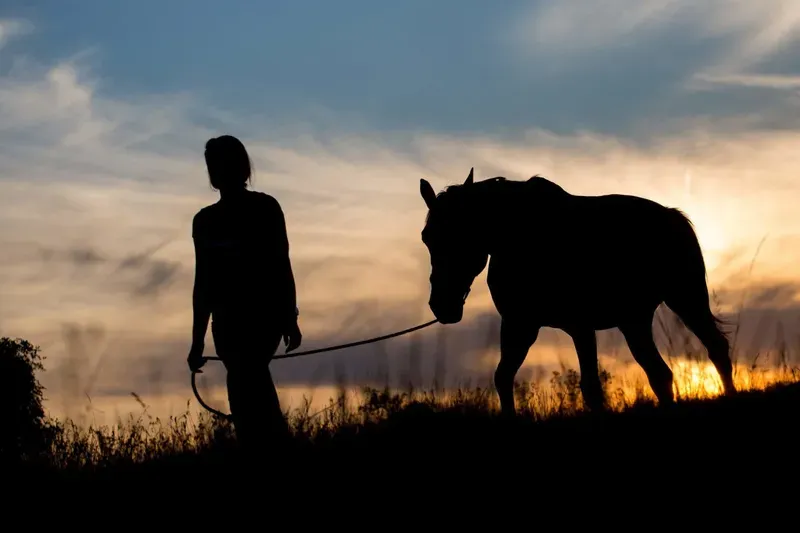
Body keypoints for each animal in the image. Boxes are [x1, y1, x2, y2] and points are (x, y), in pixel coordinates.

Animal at [418, 168, 736, 415]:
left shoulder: (580, 326)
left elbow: (591, 387)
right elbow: (503, 378)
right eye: (427, 238)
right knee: (659, 373)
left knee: (716, 349)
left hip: (686, 300)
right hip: (634, 320)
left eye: (461, 233)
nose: (443, 306)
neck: (521, 236)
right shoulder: (519, 325)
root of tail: (672, 215)